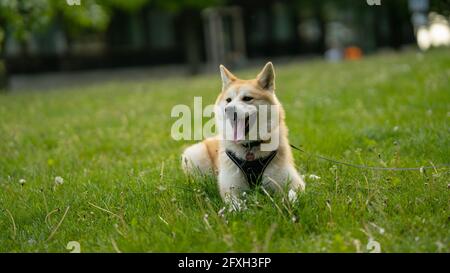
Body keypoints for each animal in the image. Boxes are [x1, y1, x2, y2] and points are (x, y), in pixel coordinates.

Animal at [181, 62, 304, 204]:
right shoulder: (230, 189)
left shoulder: (295, 183)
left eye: (247, 98)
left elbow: (292, 195)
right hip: (193, 154)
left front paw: (286, 203)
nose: (228, 109)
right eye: (228, 100)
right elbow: (236, 204)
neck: (250, 147)